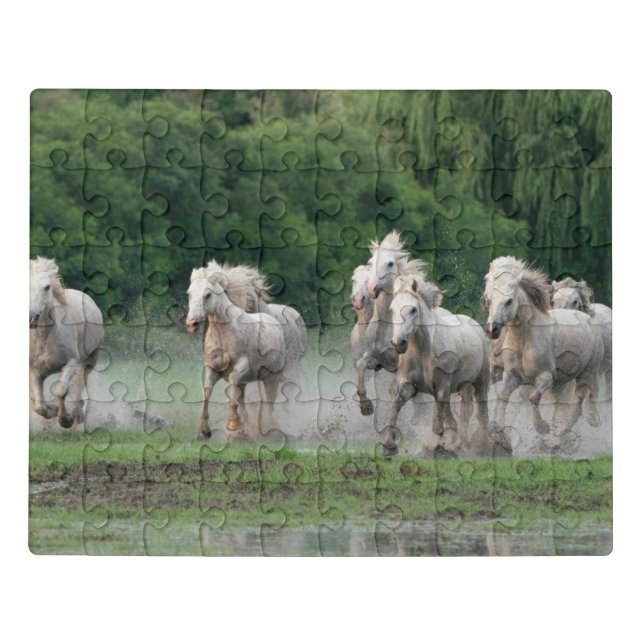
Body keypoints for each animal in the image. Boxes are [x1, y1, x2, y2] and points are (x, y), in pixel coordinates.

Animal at [29, 257, 104, 428]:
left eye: (47, 287)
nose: (31, 316)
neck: (44, 338)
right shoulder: (34, 371)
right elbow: (39, 405)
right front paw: (53, 410)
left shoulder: (71, 362)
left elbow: (61, 391)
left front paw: (66, 420)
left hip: (90, 359)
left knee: (80, 382)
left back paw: (77, 413)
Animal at [186, 264, 287, 440]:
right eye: (189, 293)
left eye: (208, 295)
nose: (192, 324)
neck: (223, 334)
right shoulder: (212, 368)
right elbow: (207, 390)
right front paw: (204, 431)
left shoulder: (241, 365)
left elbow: (232, 381)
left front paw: (233, 424)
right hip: (247, 381)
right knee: (243, 397)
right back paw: (245, 428)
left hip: (272, 378)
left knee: (269, 402)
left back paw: (266, 429)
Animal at [383, 274, 490, 458]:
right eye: (392, 309)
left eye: (413, 310)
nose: (398, 343)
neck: (424, 352)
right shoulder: (410, 385)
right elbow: (396, 404)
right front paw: (389, 446)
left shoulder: (442, 385)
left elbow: (438, 421)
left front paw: (437, 449)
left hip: (479, 382)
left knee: (479, 413)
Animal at [485, 258, 604, 438]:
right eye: (489, 299)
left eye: (509, 301)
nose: (493, 329)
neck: (524, 340)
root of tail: (586, 317)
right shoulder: (512, 376)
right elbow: (502, 397)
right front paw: (498, 430)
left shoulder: (546, 377)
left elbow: (534, 398)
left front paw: (542, 427)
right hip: (561, 382)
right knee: (561, 404)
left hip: (586, 373)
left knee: (578, 401)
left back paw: (564, 433)